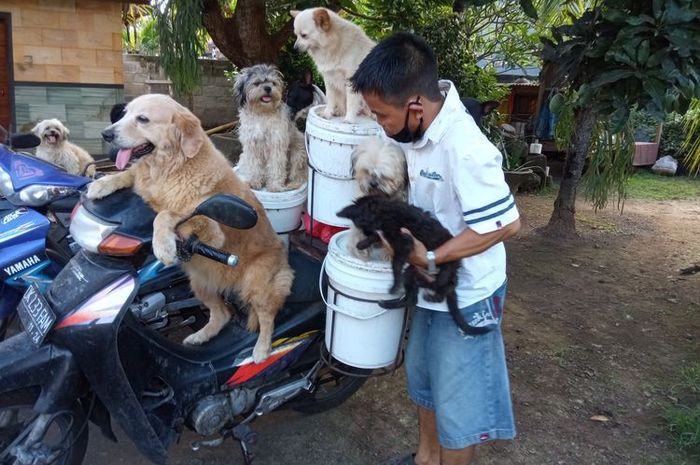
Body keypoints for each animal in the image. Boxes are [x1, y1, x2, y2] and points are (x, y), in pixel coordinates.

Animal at [87, 94, 292, 362]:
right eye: (124, 113)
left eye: (142, 119)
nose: (106, 134)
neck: (171, 166)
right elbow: (128, 174)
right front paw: (102, 183)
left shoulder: (212, 231)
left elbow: (166, 214)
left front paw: (162, 245)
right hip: (199, 281)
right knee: (222, 314)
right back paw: (200, 336)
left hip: (256, 284)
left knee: (267, 318)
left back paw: (261, 350)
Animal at [336, 195, 490, 334]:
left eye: (363, 222)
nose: (365, 233)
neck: (385, 210)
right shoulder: (388, 235)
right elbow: (377, 237)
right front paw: (362, 244)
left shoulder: (403, 240)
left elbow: (395, 263)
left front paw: (394, 285)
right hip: (410, 273)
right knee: (413, 299)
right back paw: (392, 303)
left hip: (446, 266)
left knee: (445, 284)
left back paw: (434, 295)